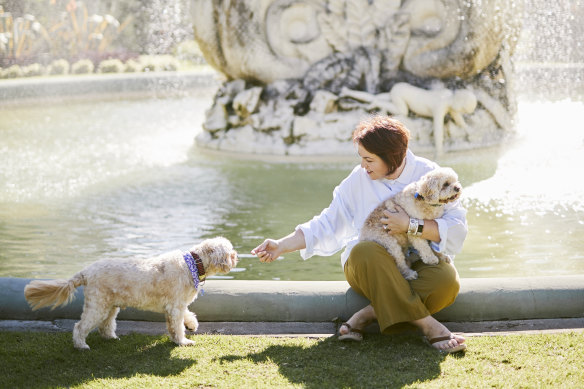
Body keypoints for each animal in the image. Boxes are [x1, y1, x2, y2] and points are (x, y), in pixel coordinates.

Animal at [22, 235, 237, 350]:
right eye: (229, 251)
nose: (236, 256)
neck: (192, 264)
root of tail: (86, 271)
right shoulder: (175, 306)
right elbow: (178, 325)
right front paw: (183, 341)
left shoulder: (175, 305)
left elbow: (183, 318)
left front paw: (189, 326)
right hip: (98, 306)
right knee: (80, 326)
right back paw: (81, 345)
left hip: (110, 306)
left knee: (105, 326)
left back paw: (111, 337)